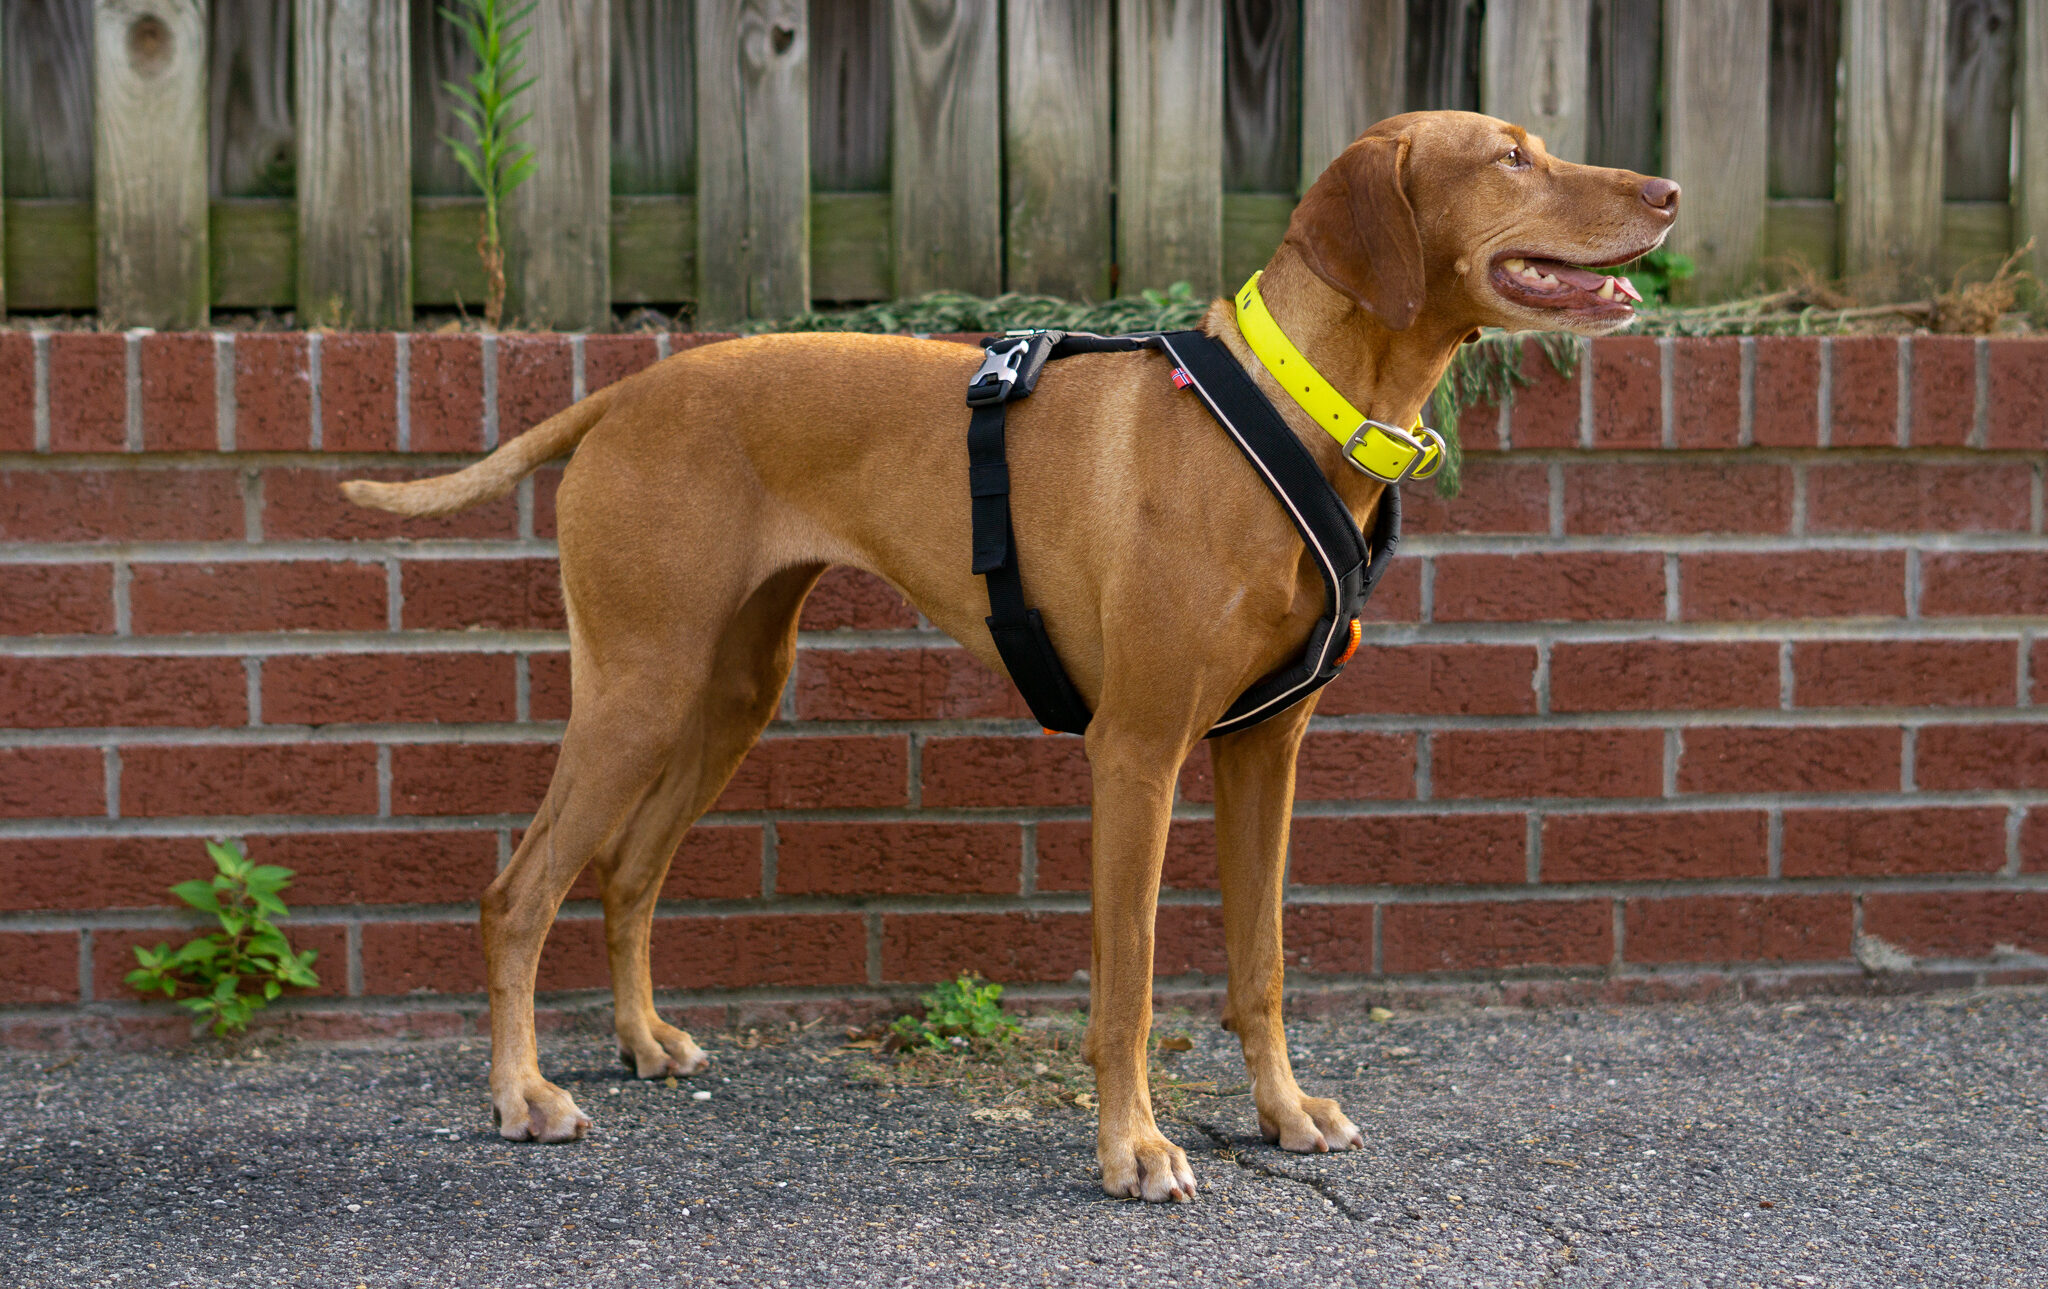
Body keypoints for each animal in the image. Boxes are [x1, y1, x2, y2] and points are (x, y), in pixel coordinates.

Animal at [344, 113, 1671, 1204]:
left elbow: (1261, 961)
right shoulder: (1135, 753)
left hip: (730, 690)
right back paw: (522, 1093)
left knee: (626, 871)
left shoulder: (1264, 747)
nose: (1665, 191)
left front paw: (1283, 1111)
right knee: (518, 892)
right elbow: (1128, 980)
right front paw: (1133, 1148)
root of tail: (624, 394)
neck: (1296, 412)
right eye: (1509, 156)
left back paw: (640, 1037)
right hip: (639, 685)